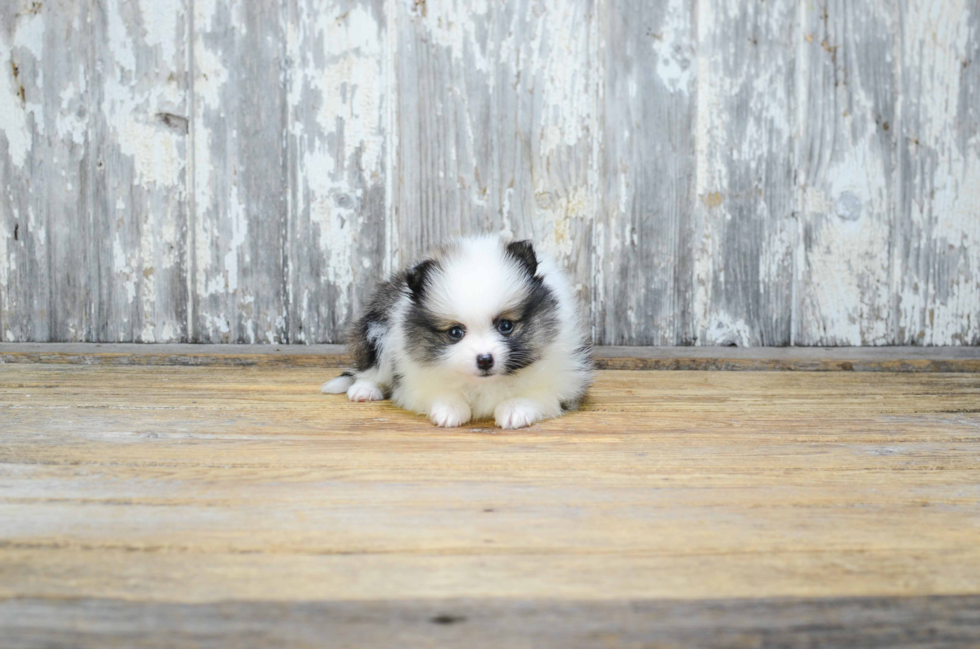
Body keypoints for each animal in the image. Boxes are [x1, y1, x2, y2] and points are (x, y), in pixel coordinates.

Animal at [326, 235, 592, 428]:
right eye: (455, 333)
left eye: (505, 326)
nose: (484, 360)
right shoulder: (414, 381)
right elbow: (439, 392)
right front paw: (450, 409)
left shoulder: (566, 382)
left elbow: (539, 394)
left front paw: (515, 409)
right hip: (377, 329)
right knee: (372, 369)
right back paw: (364, 389)